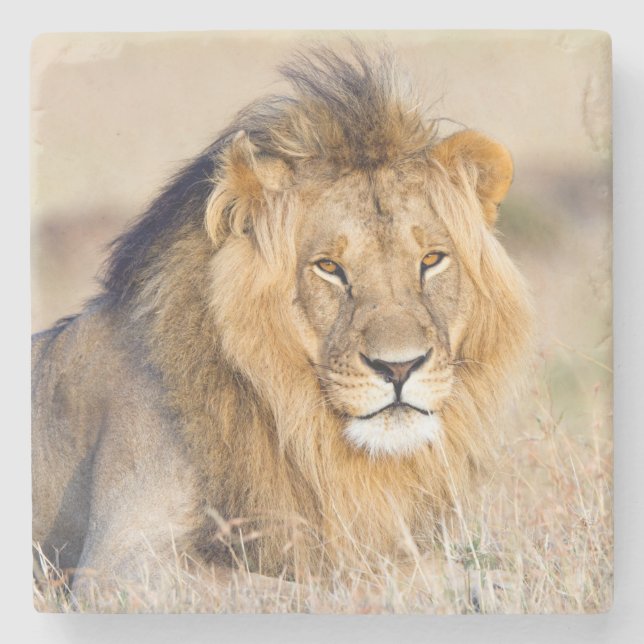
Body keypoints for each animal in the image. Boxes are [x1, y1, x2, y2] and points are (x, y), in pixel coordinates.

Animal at [32, 46, 532, 600]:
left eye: (431, 260)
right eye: (329, 267)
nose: (400, 368)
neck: (297, 423)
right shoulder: (120, 567)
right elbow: (327, 586)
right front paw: (471, 581)